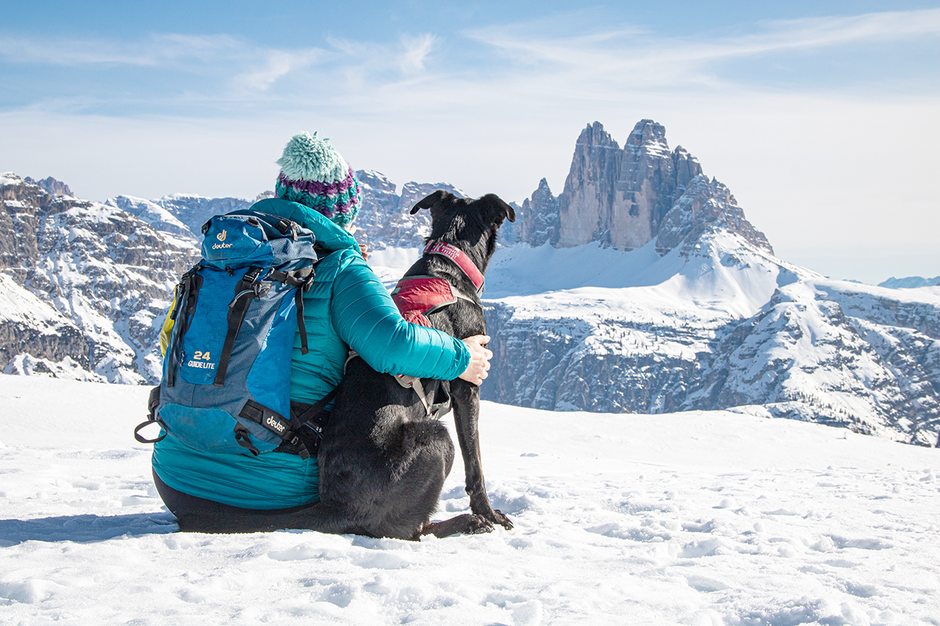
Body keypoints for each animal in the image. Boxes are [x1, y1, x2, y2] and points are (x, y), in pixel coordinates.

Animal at [302, 189, 516, 536]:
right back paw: (470, 521)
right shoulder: (467, 387)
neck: (451, 259)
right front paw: (490, 512)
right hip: (436, 437)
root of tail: (336, 507)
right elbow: (476, 465)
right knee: (409, 530)